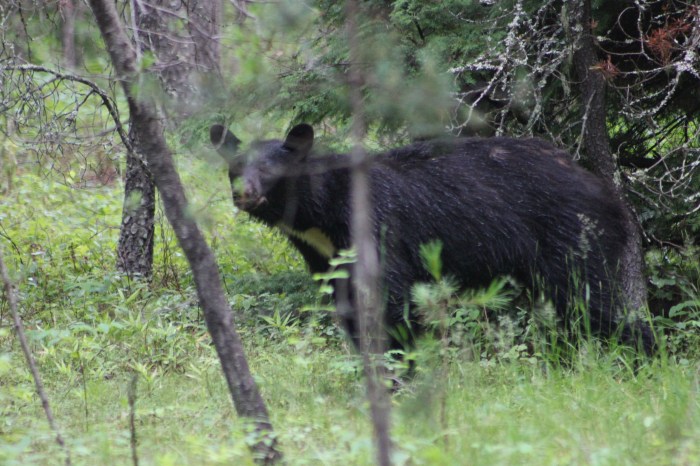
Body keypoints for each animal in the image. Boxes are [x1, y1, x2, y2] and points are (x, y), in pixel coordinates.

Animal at [210, 123, 655, 355]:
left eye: (270, 171)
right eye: (234, 169)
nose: (244, 194)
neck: (320, 218)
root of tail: (609, 192)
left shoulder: (379, 229)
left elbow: (392, 302)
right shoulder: (326, 256)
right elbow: (349, 306)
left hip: (572, 234)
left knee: (596, 302)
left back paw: (643, 359)